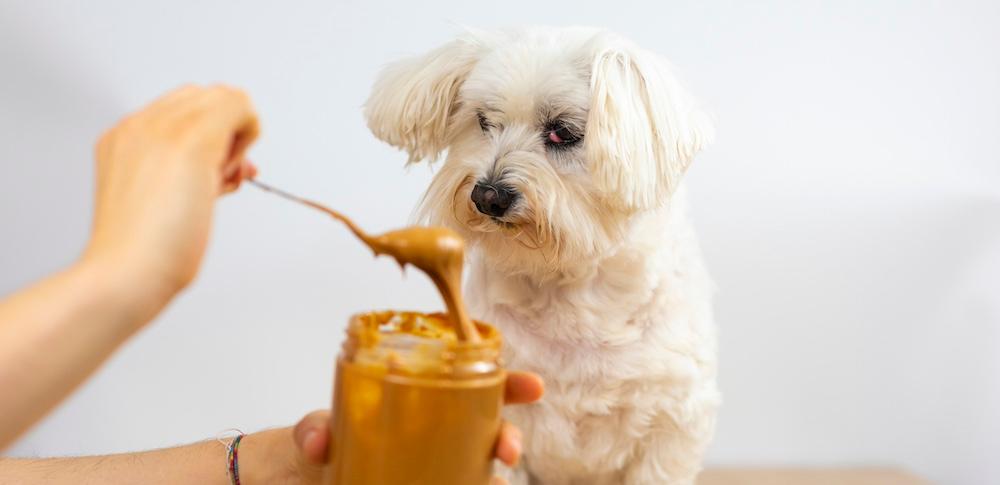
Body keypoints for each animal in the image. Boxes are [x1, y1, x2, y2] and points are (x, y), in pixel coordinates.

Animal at [368, 26, 720, 484]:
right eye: (483, 121)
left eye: (561, 132)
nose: (487, 195)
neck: (569, 288)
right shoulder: (503, 427)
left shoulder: (671, 425)